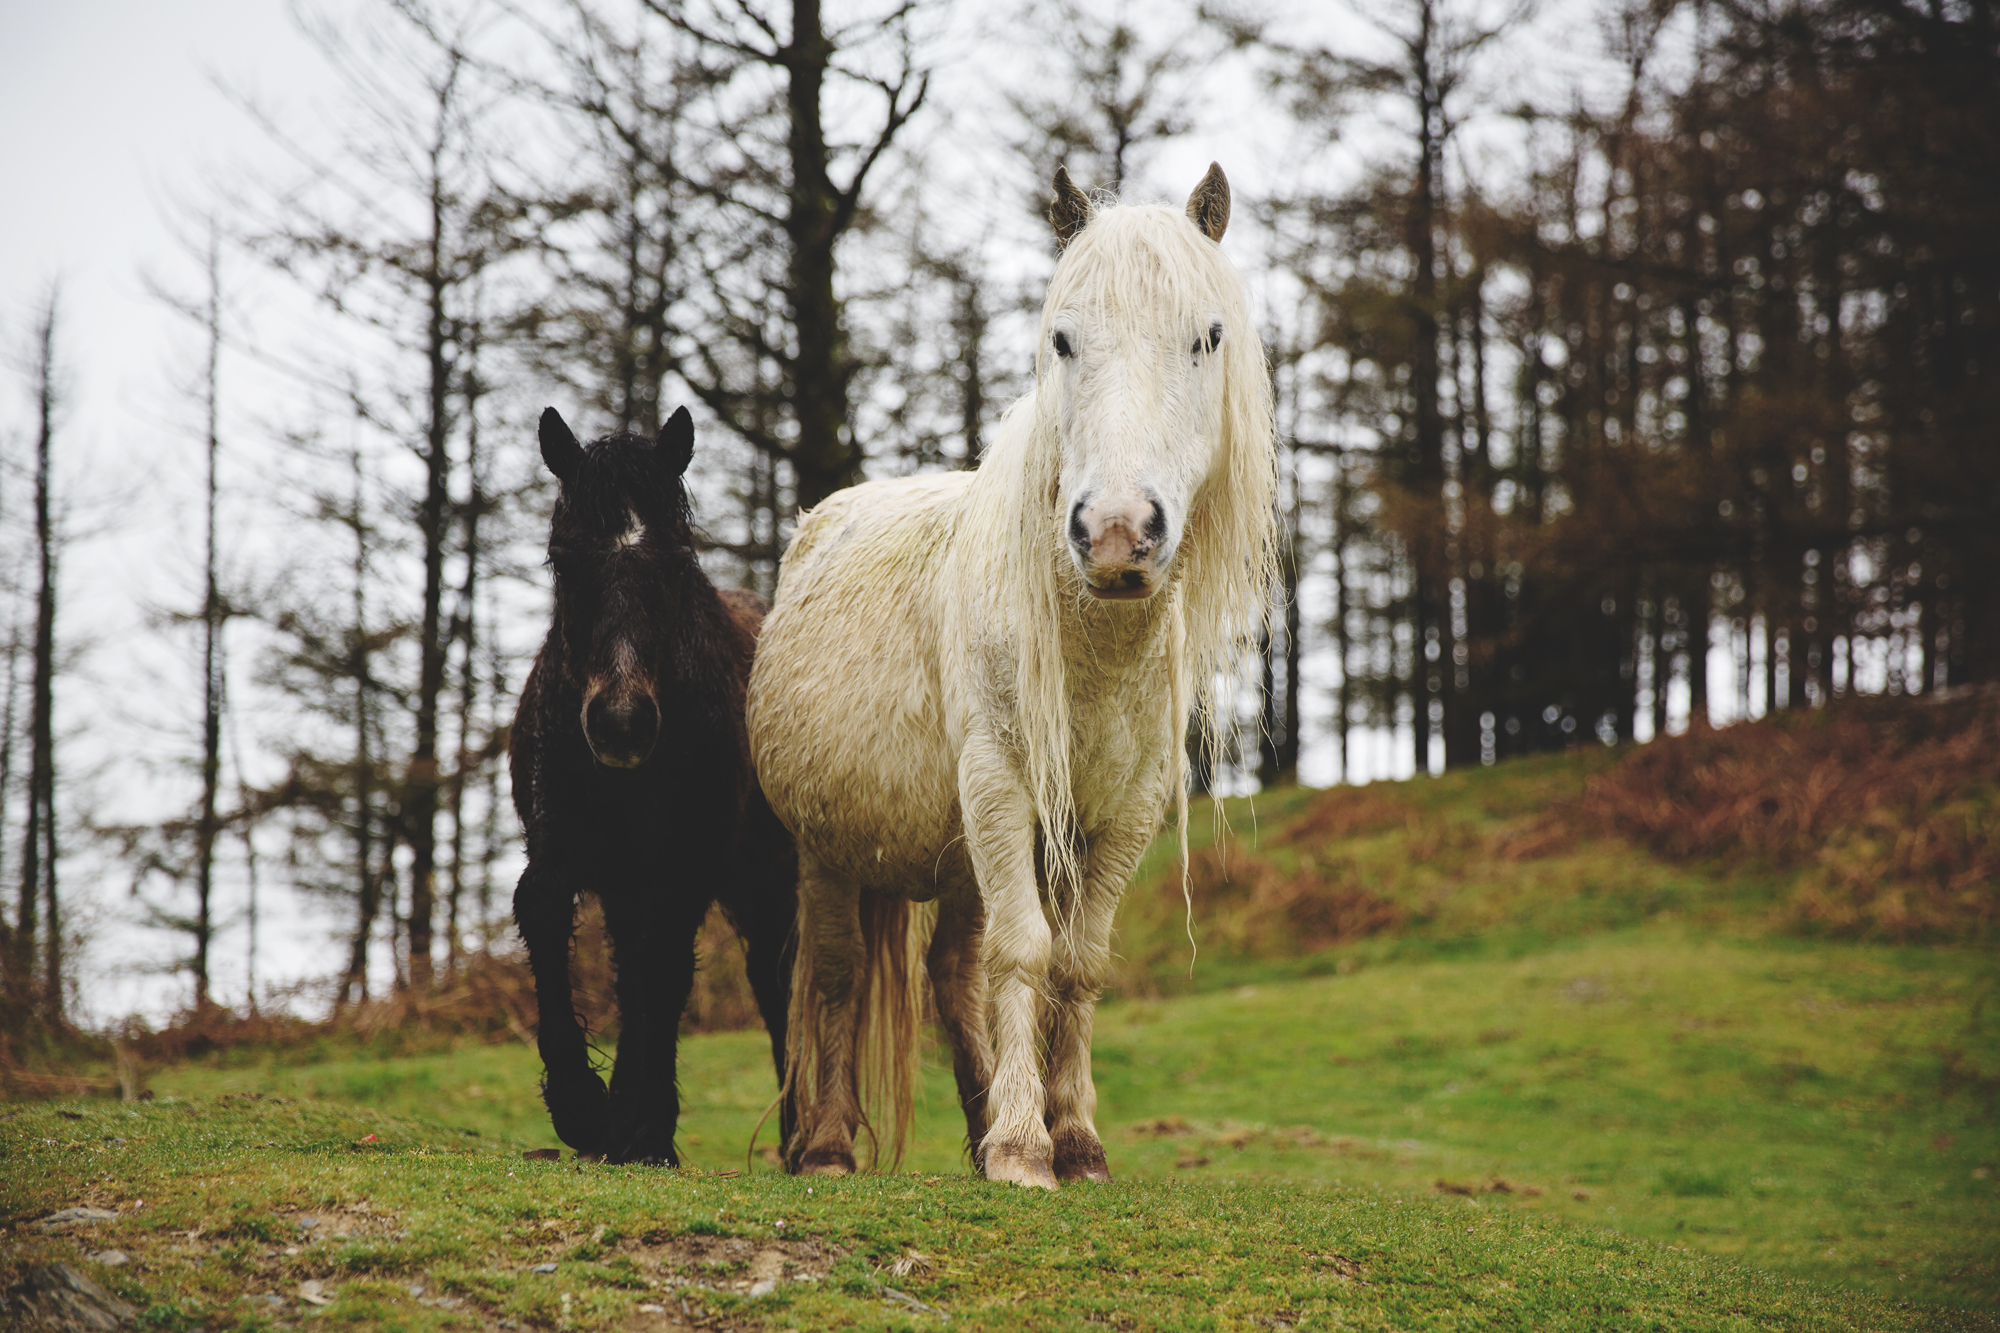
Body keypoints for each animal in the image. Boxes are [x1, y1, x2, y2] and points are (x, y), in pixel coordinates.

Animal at [508, 400, 796, 1160]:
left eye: (673, 561)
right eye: (565, 558)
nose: (621, 723)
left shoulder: (682, 865)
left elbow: (661, 971)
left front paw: (638, 1124)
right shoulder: (563, 842)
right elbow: (544, 911)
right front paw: (583, 1108)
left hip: (763, 876)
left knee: (774, 979)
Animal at [744, 166, 1272, 1184]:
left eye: (1207, 337)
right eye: (1063, 338)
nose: (1116, 535)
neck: (1089, 648)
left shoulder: (1123, 812)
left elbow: (1078, 962)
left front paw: (1074, 1141)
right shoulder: (999, 783)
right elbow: (1025, 952)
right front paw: (1026, 1147)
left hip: (956, 861)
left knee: (952, 973)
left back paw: (982, 1112)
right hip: (828, 851)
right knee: (837, 973)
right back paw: (828, 1144)